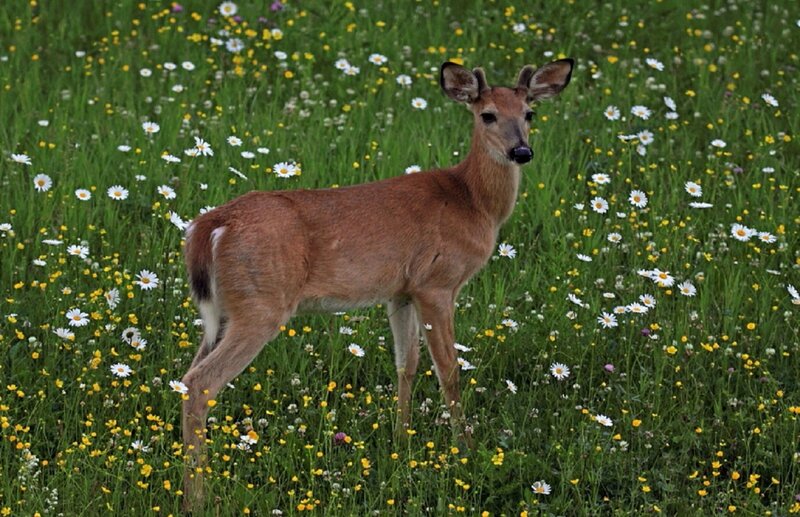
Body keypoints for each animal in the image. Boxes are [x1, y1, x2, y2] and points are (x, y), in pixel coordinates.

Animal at [180, 58, 574, 511]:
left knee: (185, 377)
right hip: (260, 305)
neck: (474, 201)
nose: (521, 151)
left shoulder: (401, 292)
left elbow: (407, 364)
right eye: (487, 115)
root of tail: (211, 226)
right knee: (199, 384)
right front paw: (466, 450)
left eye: (530, 114)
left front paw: (401, 441)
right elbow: (449, 370)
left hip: (224, 311)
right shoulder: (437, 283)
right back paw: (197, 499)